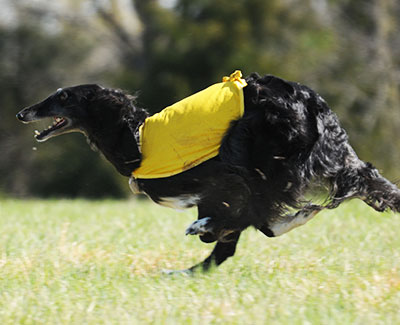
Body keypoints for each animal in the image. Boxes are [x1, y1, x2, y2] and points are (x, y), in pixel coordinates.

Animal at [16, 73, 400, 270]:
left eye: (64, 97)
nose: (22, 113)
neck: (135, 136)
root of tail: (309, 102)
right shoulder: (220, 193)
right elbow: (232, 236)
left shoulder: (226, 183)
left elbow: (243, 222)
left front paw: (203, 232)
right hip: (331, 158)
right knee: (367, 180)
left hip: (253, 154)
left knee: (267, 217)